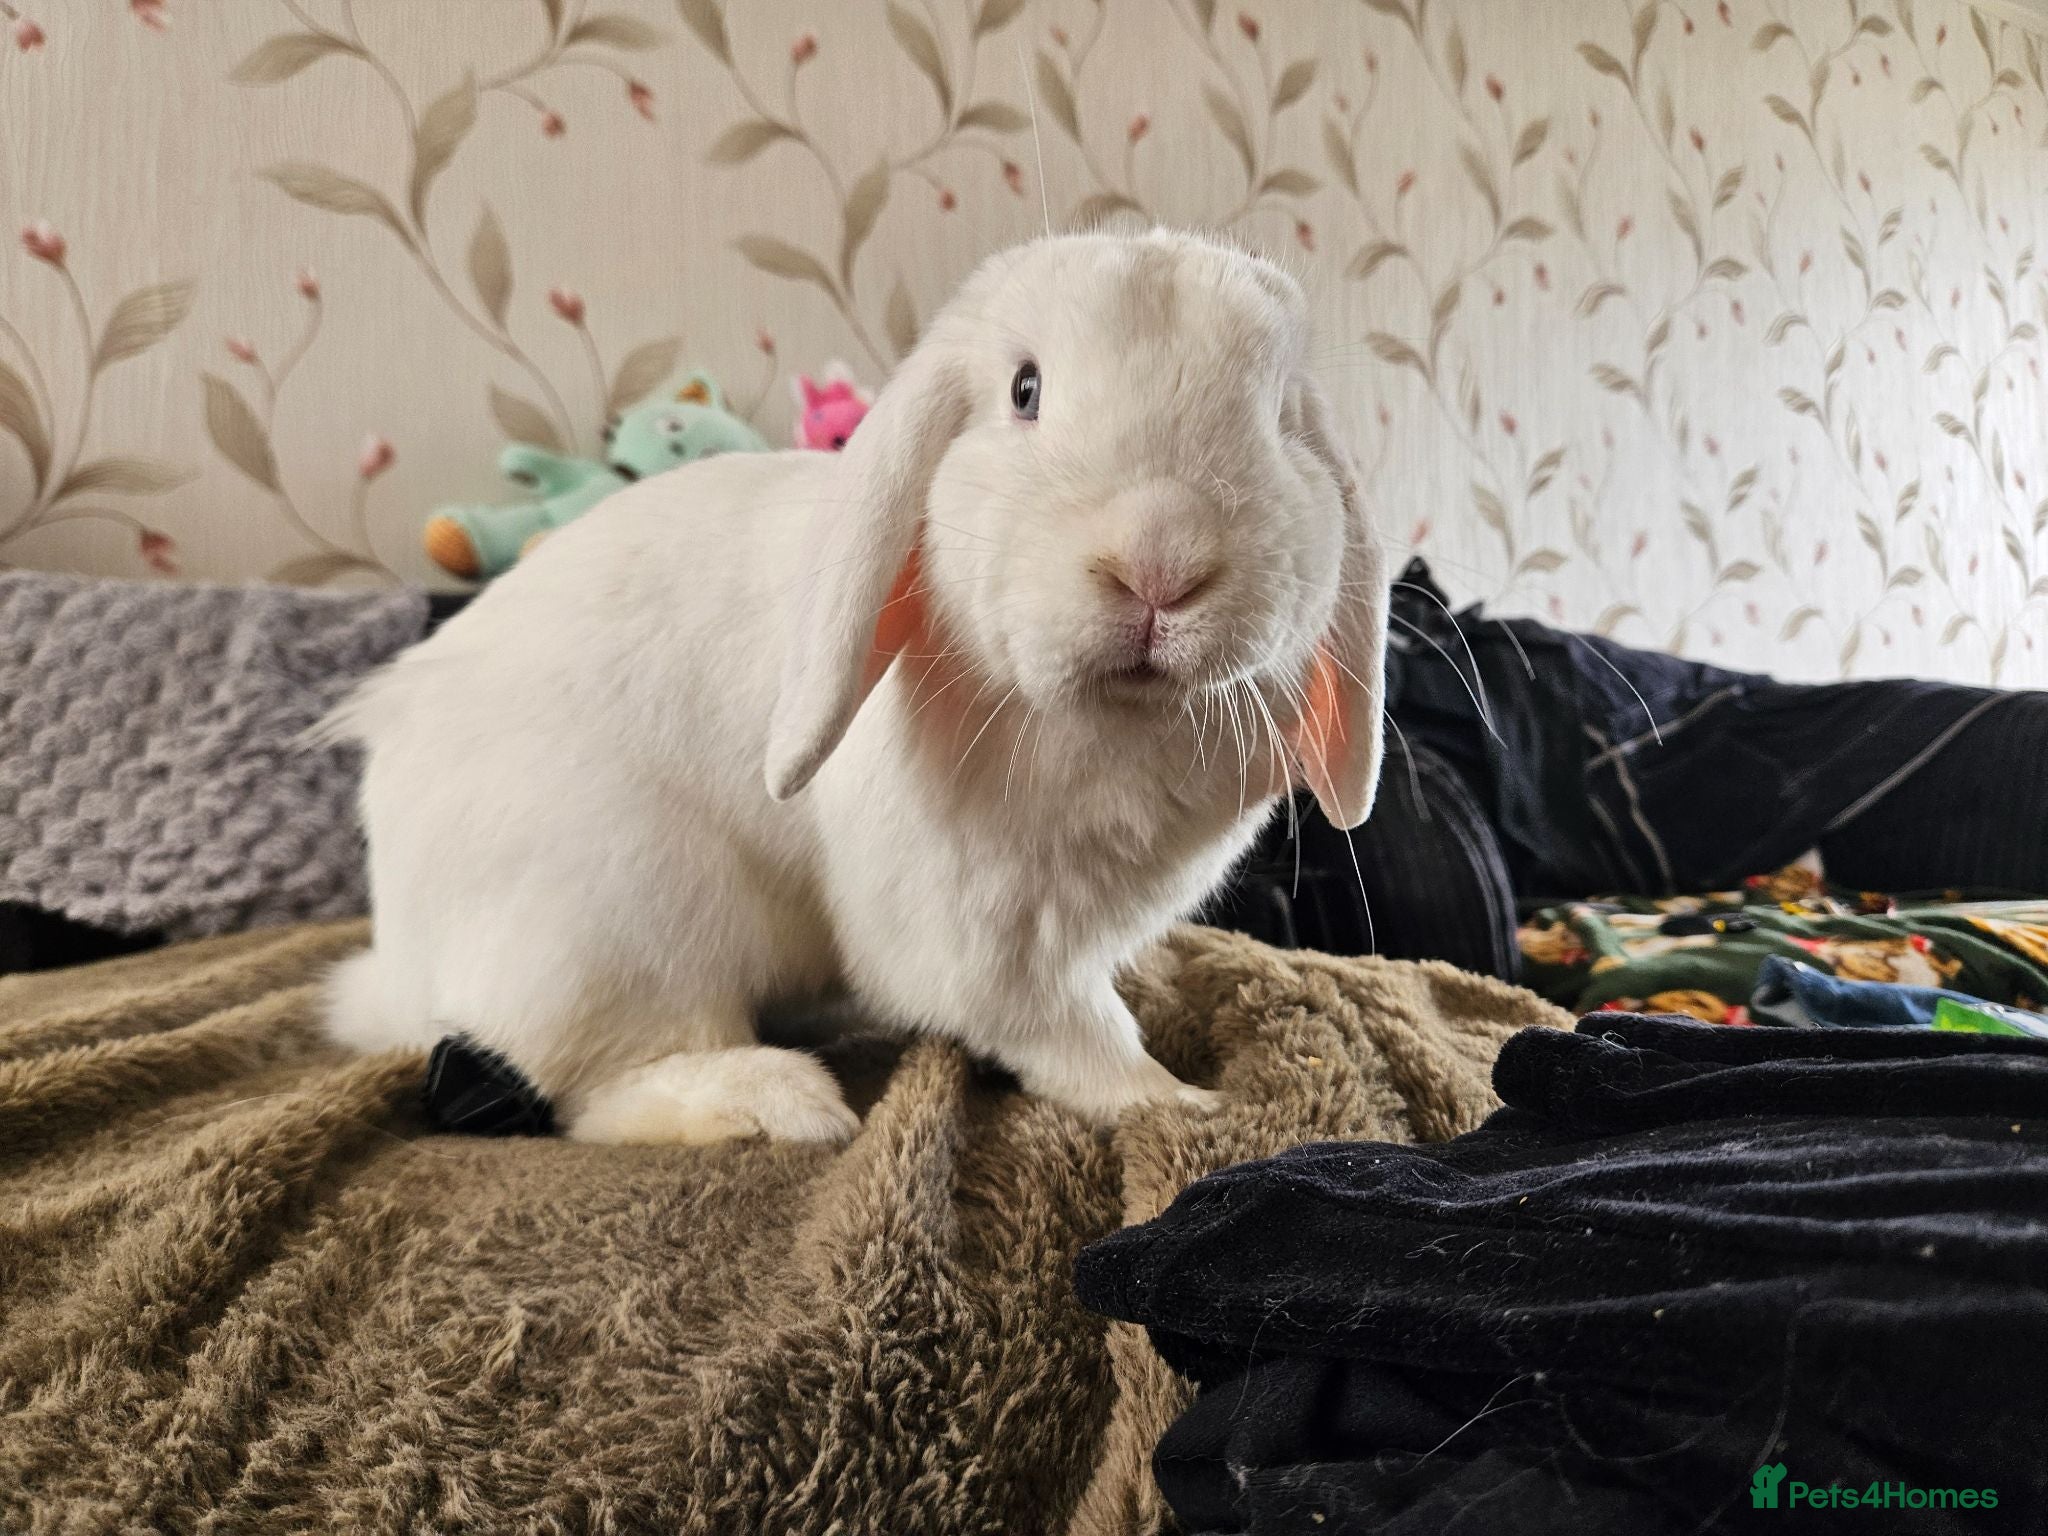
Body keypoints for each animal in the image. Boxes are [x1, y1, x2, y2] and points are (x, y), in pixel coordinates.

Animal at [322, 228, 1388, 1146]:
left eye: (1282, 420)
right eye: (1026, 390)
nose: (1160, 563)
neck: (1111, 722)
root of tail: (402, 958)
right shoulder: (986, 930)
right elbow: (1062, 1027)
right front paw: (1174, 1101)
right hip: (621, 912)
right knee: (599, 1082)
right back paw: (771, 1103)